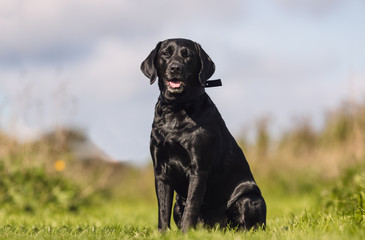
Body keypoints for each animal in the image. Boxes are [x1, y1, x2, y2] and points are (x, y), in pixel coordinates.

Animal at [140, 38, 264, 232]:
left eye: (188, 55)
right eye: (166, 54)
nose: (175, 68)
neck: (176, 109)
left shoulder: (198, 168)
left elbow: (192, 206)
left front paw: (185, 233)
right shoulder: (160, 170)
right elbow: (162, 210)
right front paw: (162, 234)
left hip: (249, 199)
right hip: (178, 204)